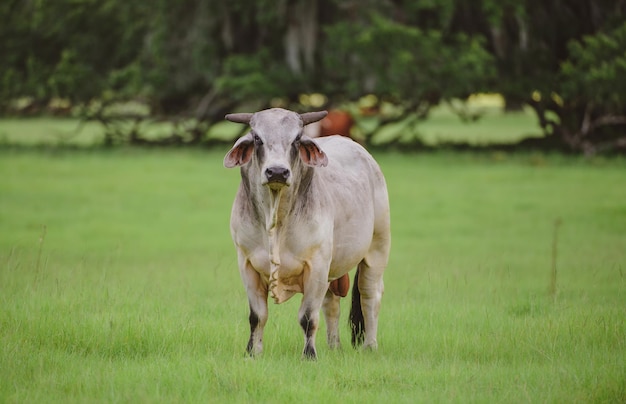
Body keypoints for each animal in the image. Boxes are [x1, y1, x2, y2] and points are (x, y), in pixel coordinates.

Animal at [223, 108, 390, 360]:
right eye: (257, 138)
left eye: (296, 139)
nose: (277, 172)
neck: (276, 219)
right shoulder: (247, 264)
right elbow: (257, 316)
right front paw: (253, 353)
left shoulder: (317, 265)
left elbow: (308, 317)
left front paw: (309, 355)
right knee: (332, 304)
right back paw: (334, 346)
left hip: (377, 248)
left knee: (370, 296)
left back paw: (370, 346)